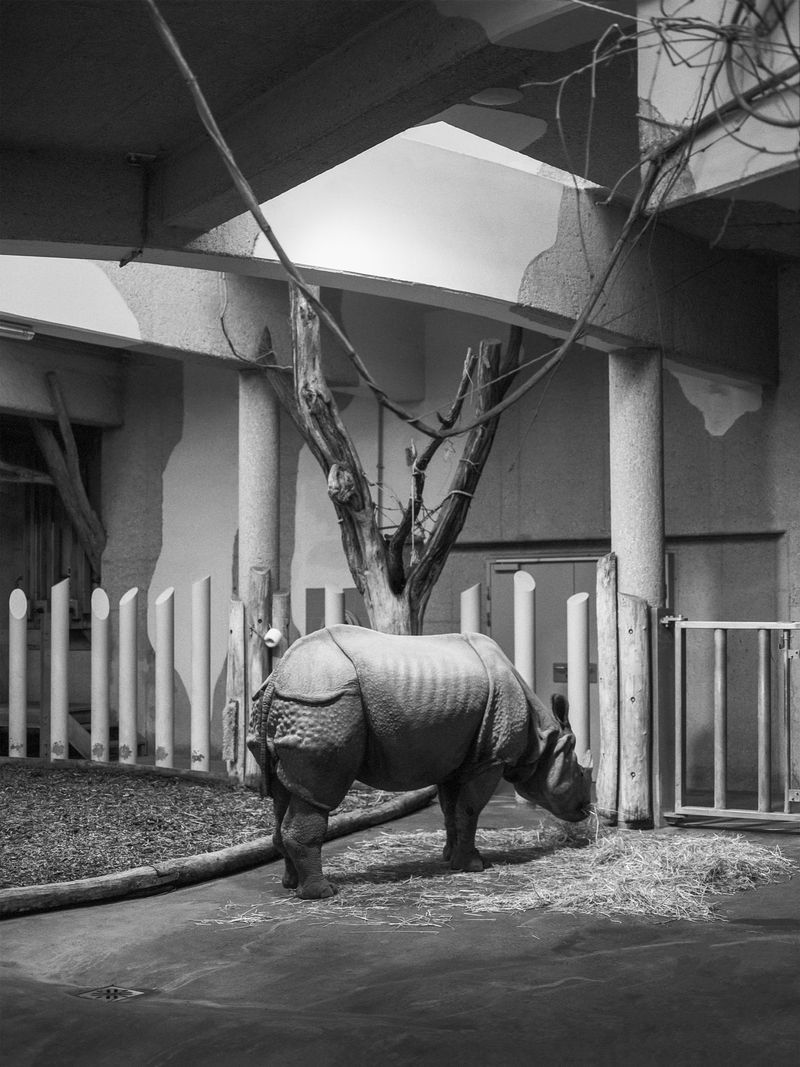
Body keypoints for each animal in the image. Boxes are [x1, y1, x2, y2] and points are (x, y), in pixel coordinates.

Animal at [247, 625, 591, 899]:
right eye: (579, 774)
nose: (585, 810)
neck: (543, 737)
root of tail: (279, 675)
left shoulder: (456, 758)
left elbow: (452, 810)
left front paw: (451, 859)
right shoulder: (490, 760)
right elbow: (470, 809)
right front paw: (475, 866)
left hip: (296, 703)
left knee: (284, 792)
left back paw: (291, 885)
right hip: (323, 703)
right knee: (319, 793)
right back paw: (323, 893)